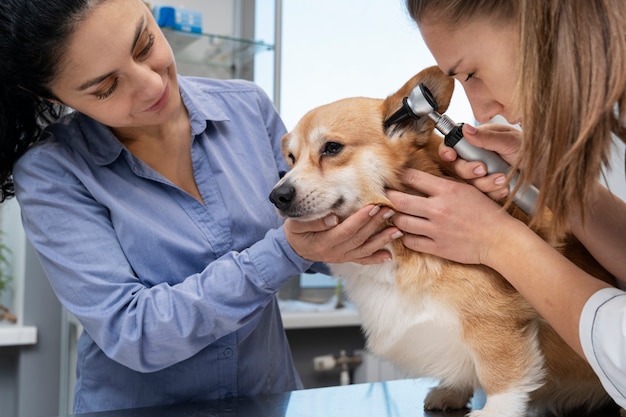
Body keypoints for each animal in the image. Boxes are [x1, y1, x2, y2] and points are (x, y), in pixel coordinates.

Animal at [270, 66, 616, 414]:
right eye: (291, 158)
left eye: (331, 148)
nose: (277, 196)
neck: (400, 251)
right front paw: (451, 391)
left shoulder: (495, 320)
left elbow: (500, 374)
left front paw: (494, 411)